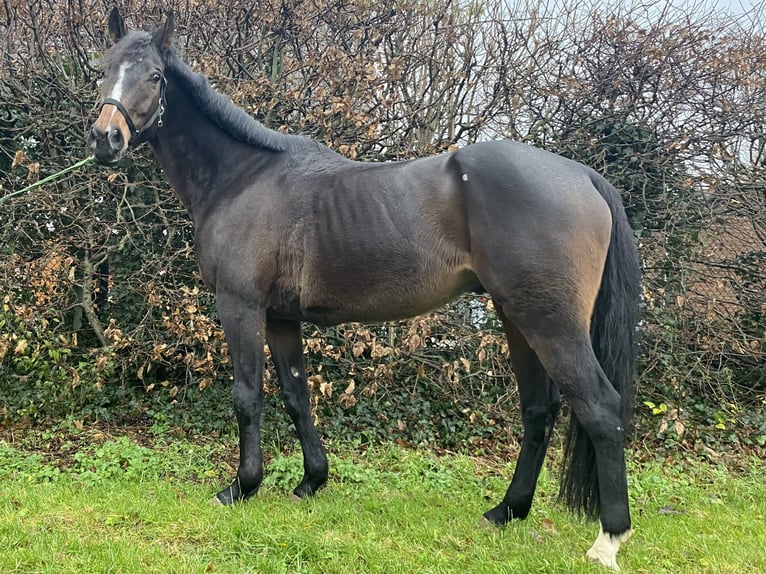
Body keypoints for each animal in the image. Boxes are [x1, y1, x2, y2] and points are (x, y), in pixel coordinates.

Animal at [88, 9, 640, 572]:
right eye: (103, 68)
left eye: (155, 76)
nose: (104, 139)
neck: (242, 178)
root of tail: (583, 175)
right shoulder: (282, 317)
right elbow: (296, 396)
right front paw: (311, 481)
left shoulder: (240, 306)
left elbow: (247, 396)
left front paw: (241, 487)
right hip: (517, 318)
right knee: (539, 411)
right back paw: (505, 511)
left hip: (550, 323)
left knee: (600, 408)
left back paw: (607, 539)